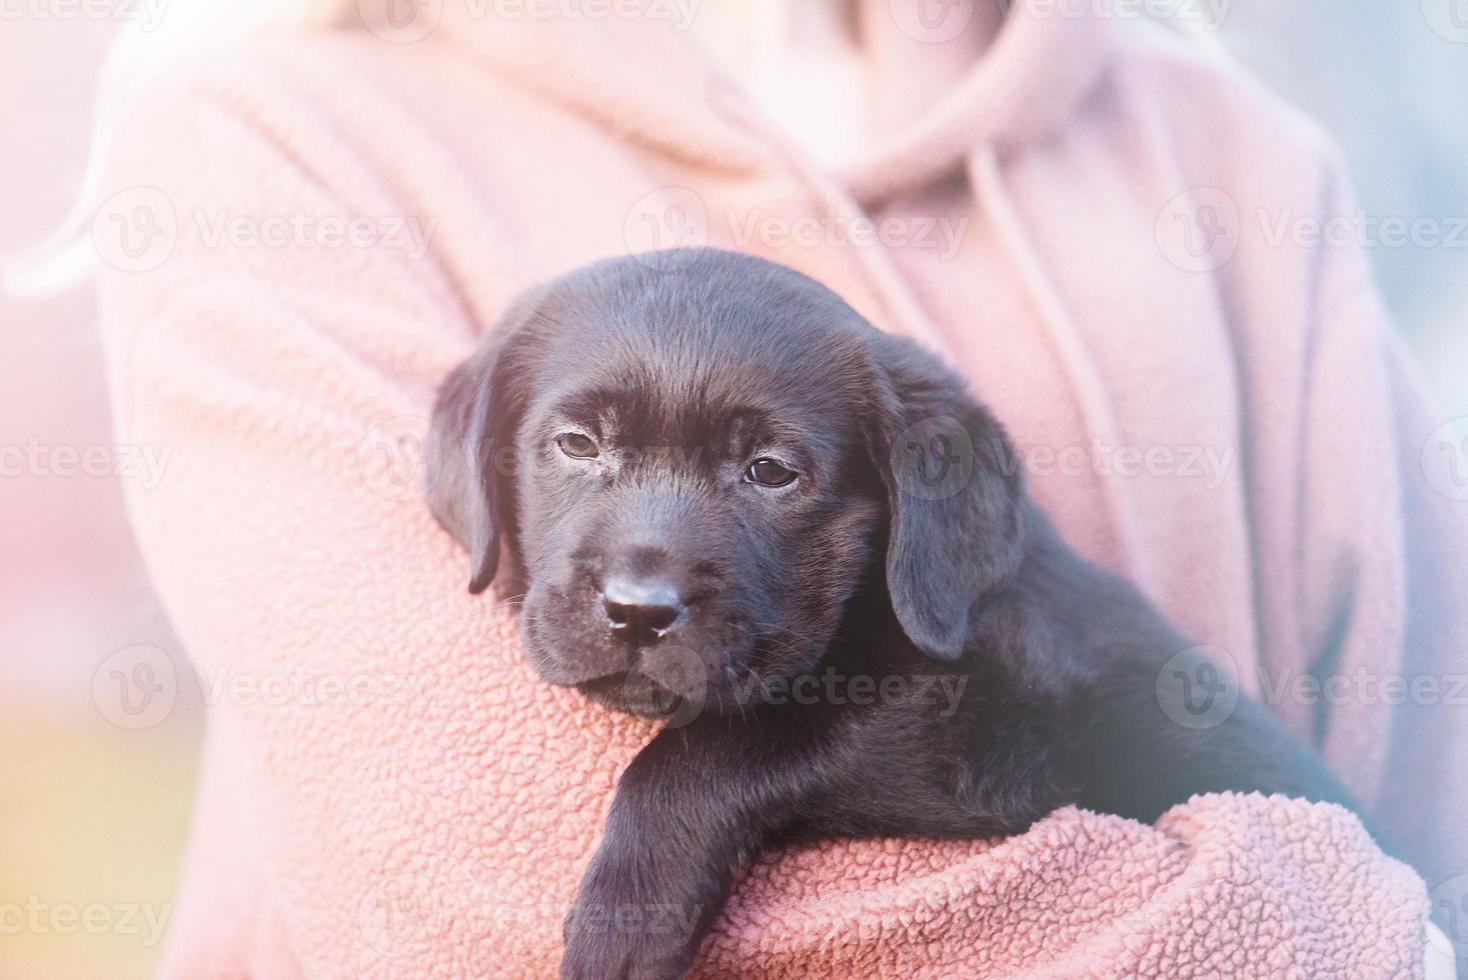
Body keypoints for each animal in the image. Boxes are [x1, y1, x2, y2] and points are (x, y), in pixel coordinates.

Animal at [428, 250, 1362, 979]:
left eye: (771, 471)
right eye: (576, 445)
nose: (638, 611)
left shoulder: (989, 725)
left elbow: (725, 744)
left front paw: (627, 914)